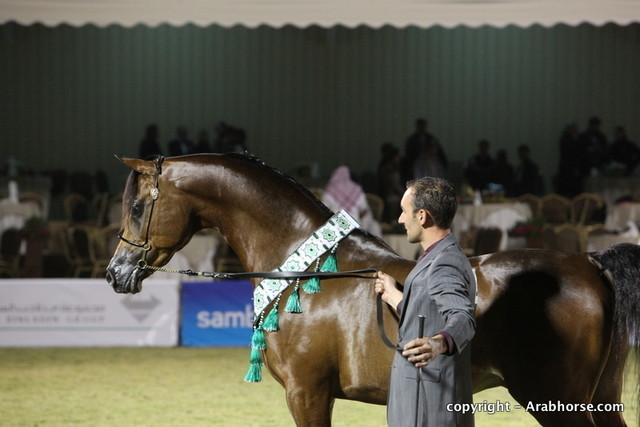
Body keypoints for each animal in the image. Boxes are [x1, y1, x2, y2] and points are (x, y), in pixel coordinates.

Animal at [106, 153, 639, 426]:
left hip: (557, 402)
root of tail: (591, 262)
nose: (116, 273)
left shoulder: (307, 394)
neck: (310, 268)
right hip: (600, 398)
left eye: (137, 207)